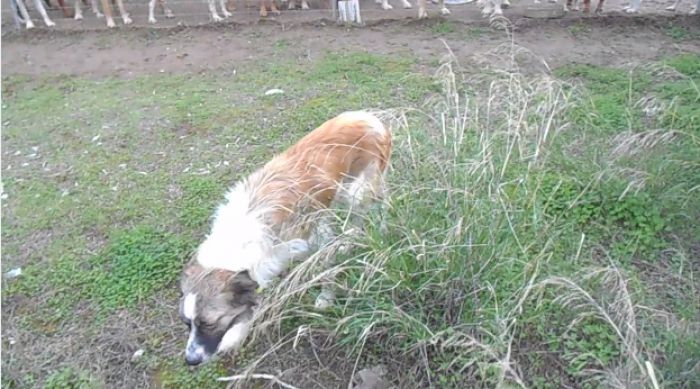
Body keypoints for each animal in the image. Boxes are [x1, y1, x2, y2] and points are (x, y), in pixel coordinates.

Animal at [178, 111, 392, 364]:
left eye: (209, 324)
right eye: (187, 324)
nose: (190, 361)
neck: (237, 239)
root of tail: (368, 116)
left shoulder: (317, 237)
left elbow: (326, 271)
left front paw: (326, 298)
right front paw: (236, 336)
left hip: (357, 192)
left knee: (379, 207)